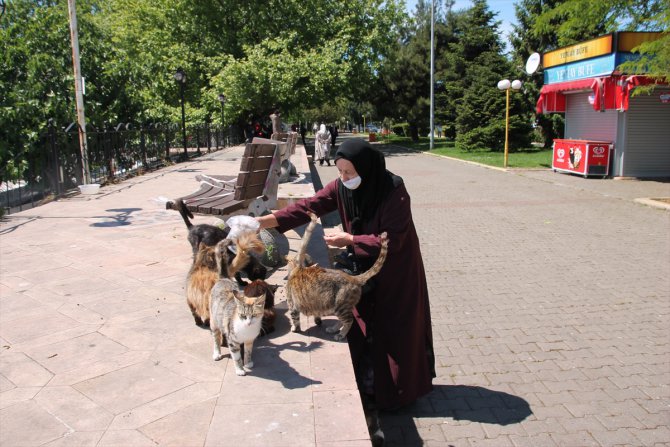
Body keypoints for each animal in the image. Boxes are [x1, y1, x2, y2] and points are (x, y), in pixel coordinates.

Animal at [210, 236, 268, 376]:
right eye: (242, 315)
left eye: (254, 315)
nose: (248, 322)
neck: (246, 330)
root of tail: (223, 278)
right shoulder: (233, 342)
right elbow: (236, 357)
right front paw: (240, 369)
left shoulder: (249, 340)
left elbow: (248, 352)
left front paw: (247, 363)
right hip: (214, 321)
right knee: (216, 337)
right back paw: (217, 353)